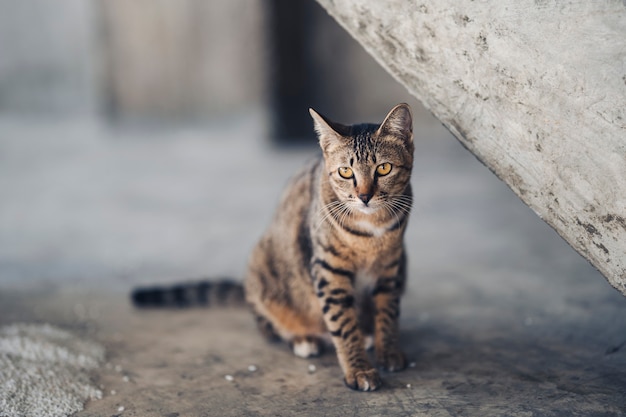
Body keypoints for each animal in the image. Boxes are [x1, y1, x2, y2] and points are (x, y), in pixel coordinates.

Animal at [132, 103, 412, 390]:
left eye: (384, 168)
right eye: (346, 172)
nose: (364, 196)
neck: (371, 232)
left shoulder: (391, 267)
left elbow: (388, 313)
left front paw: (388, 351)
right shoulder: (329, 270)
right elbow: (343, 324)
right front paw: (359, 369)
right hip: (262, 267)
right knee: (271, 327)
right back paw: (303, 340)